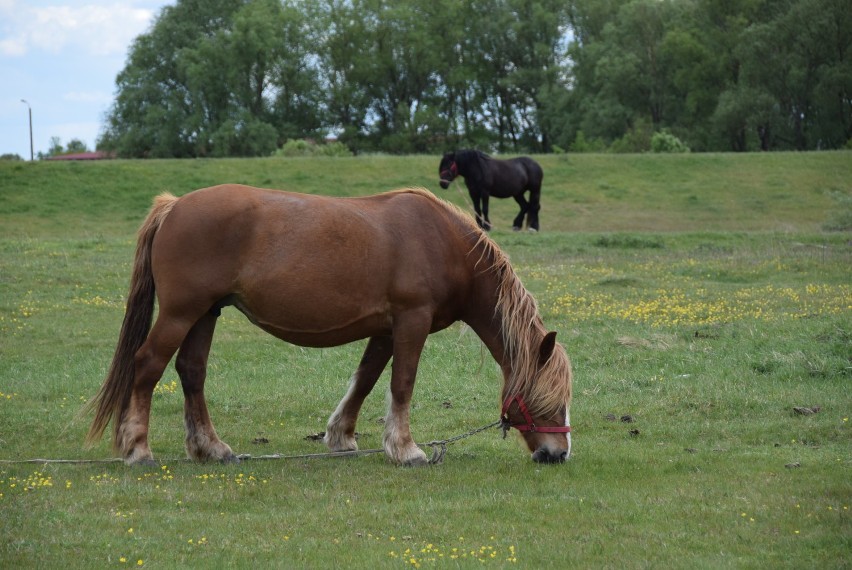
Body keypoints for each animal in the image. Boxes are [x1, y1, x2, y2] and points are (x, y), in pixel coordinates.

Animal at [85, 184, 572, 464]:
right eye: (550, 397)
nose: (559, 455)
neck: (443, 242)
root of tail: (173, 207)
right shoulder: (411, 320)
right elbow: (402, 384)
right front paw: (407, 449)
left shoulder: (385, 328)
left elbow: (366, 379)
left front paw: (342, 437)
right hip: (180, 312)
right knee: (148, 364)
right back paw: (138, 448)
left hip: (206, 313)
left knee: (192, 372)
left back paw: (211, 448)